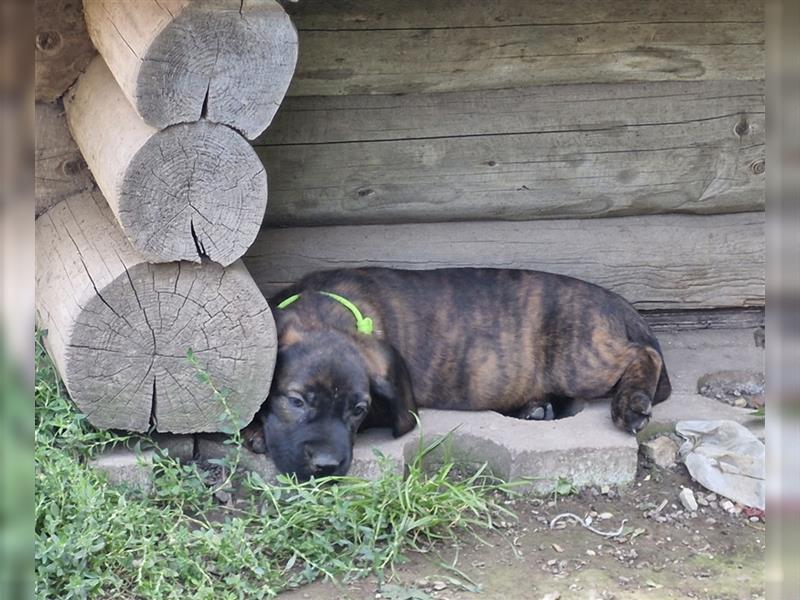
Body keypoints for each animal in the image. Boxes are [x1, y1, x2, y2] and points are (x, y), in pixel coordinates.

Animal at [250, 268, 668, 478]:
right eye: (297, 401)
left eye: (358, 411)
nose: (326, 466)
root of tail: (612, 299)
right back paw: (535, 408)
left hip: (580, 359)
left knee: (644, 353)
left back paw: (631, 404)